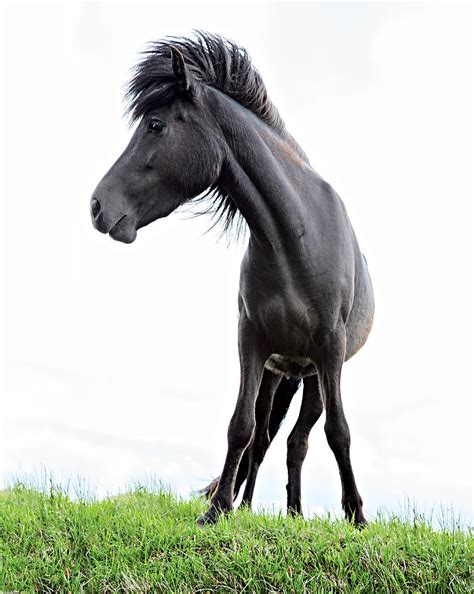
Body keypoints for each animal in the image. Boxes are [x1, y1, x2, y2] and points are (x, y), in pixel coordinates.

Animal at [90, 32, 376, 524]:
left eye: (155, 126)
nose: (96, 205)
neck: (295, 238)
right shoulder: (252, 342)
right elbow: (241, 427)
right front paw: (218, 508)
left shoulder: (331, 350)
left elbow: (338, 432)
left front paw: (356, 517)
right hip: (280, 373)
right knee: (267, 440)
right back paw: (260, 508)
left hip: (313, 376)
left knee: (299, 440)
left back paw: (296, 513)